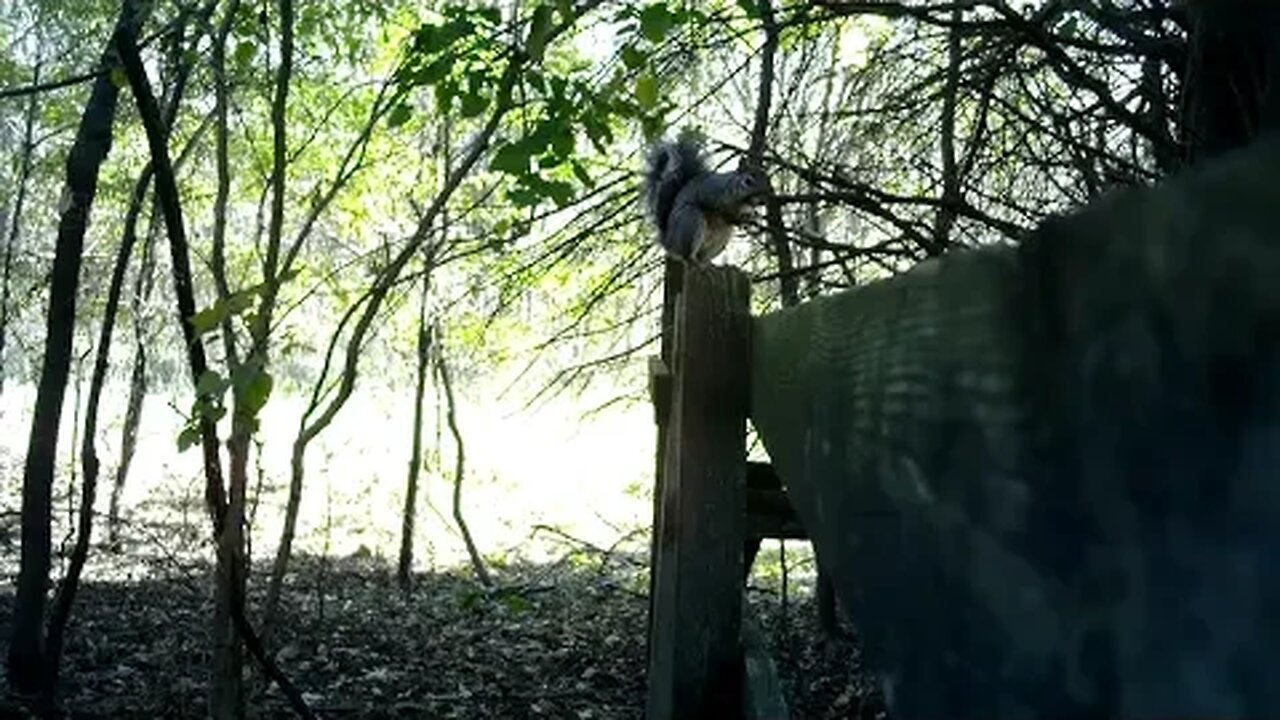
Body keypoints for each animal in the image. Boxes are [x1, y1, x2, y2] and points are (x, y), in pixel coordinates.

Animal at [643, 134, 771, 264]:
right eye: (747, 181)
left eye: (768, 180)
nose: (762, 200)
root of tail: (669, 243)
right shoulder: (714, 195)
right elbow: (725, 213)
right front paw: (741, 220)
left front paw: (753, 218)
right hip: (691, 219)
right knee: (685, 254)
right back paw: (692, 259)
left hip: (721, 237)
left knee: (703, 255)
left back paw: (706, 262)